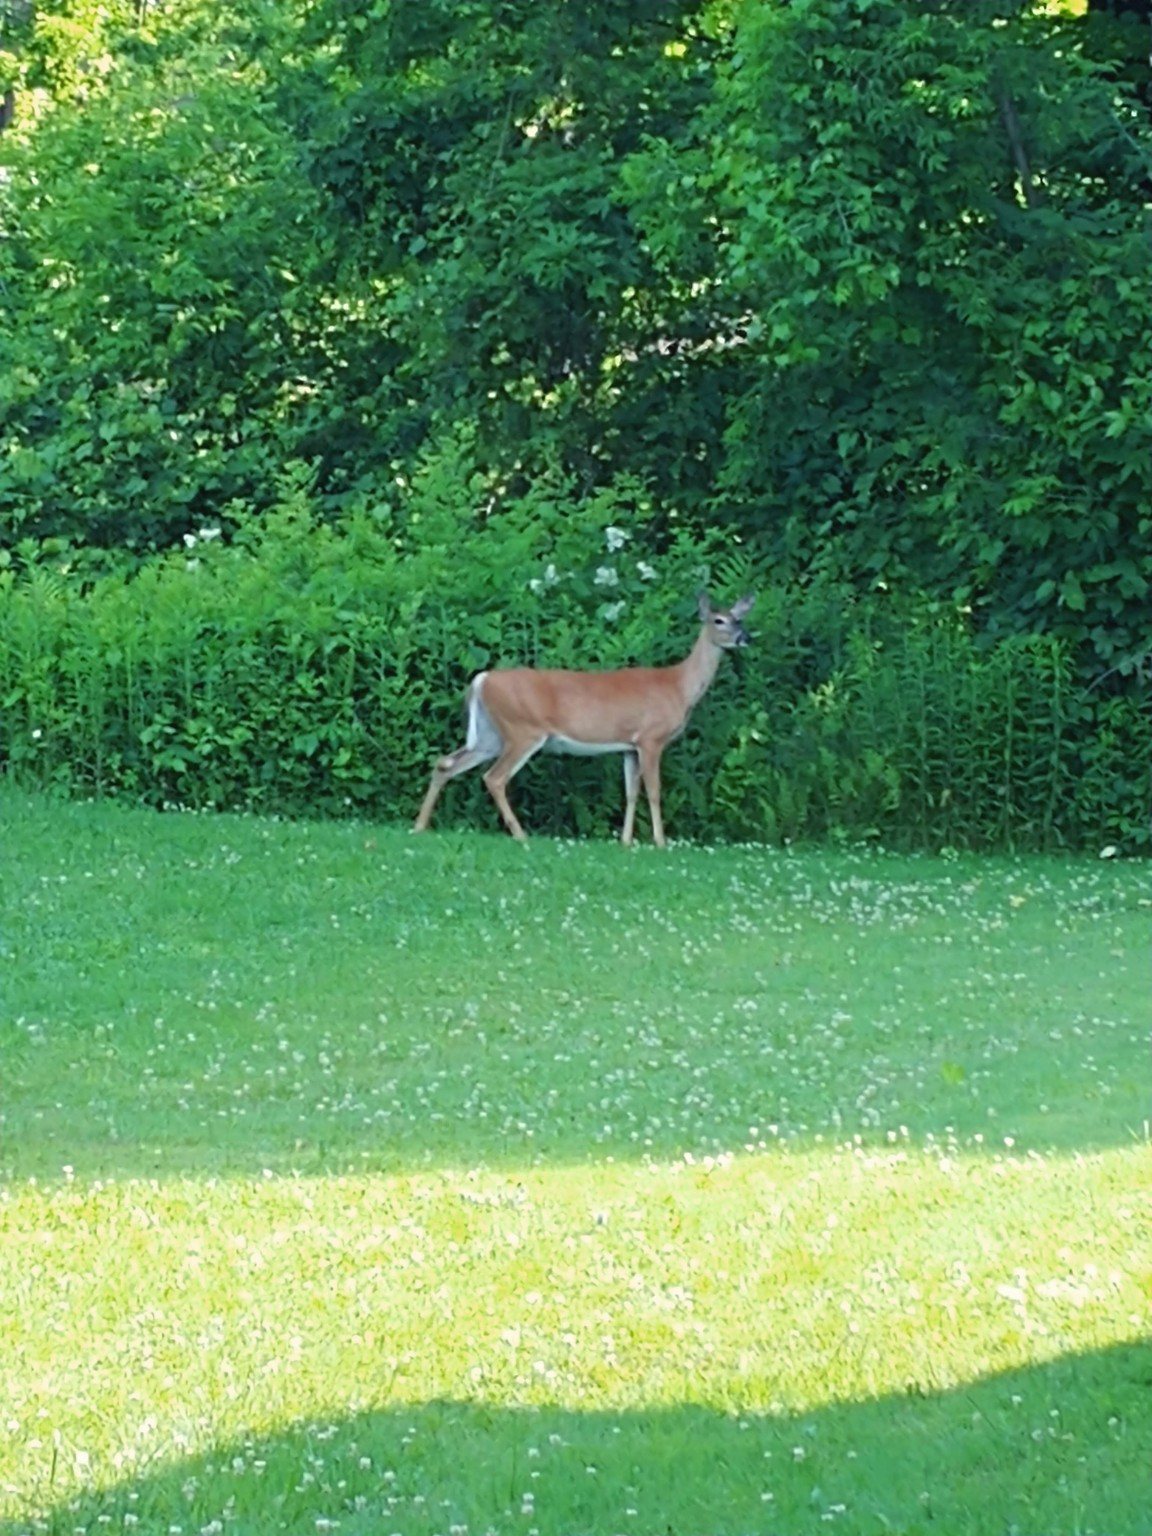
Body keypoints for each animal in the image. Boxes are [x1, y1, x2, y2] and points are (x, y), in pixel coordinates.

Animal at [413, 591, 755, 846]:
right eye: (719, 620)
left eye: (740, 618)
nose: (745, 637)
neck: (679, 686)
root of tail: (482, 680)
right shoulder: (651, 738)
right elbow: (655, 792)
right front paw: (660, 842)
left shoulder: (629, 746)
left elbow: (630, 793)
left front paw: (626, 842)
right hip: (523, 730)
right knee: (494, 777)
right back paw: (521, 835)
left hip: (489, 736)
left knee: (445, 763)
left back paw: (420, 826)